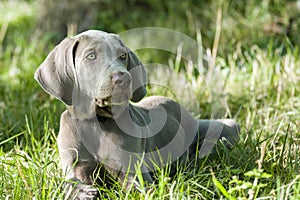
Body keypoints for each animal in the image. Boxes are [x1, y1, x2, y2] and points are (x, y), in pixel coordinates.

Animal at [34, 29, 240, 198]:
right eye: (91, 56)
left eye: (123, 55)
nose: (123, 78)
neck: (96, 122)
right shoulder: (75, 166)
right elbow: (69, 183)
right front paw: (82, 192)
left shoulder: (133, 171)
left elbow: (138, 187)